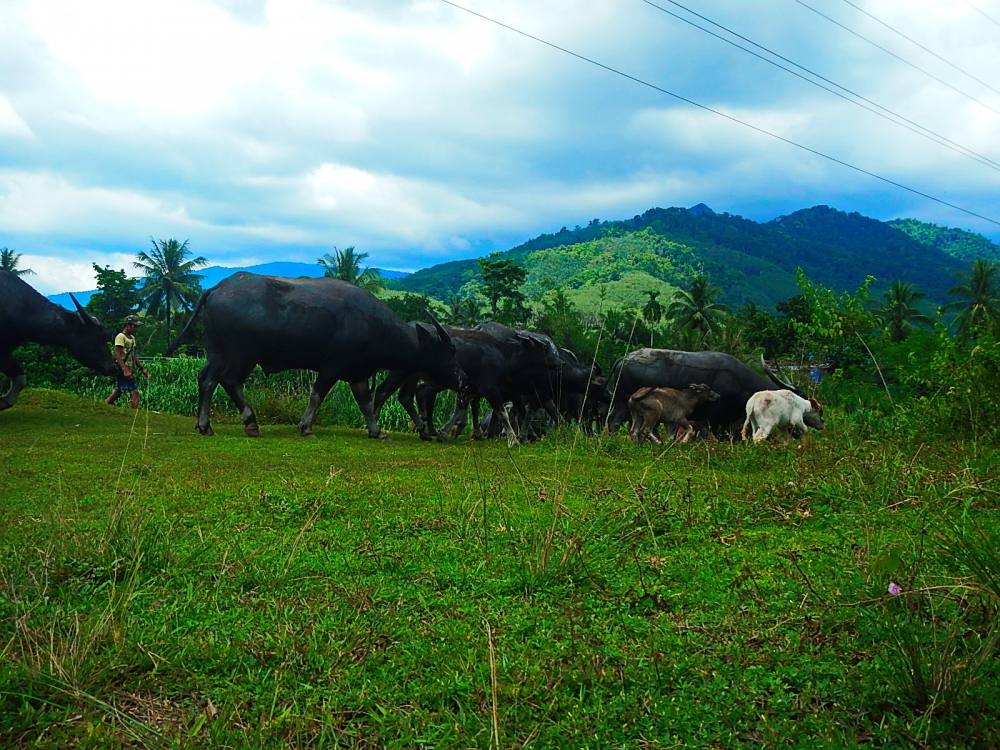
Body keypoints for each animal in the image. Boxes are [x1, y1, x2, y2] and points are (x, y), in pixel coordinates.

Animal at [168, 272, 464, 438]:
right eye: (449, 350)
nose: (461, 376)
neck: (372, 324)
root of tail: (216, 289)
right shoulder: (331, 367)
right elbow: (317, 395)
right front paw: (306, 427)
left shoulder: (357, 374)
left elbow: (365, 403)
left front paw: (376, 431)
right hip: (240, 355)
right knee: (224, 381)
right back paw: (240, 425)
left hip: (218, 353)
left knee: (209, 379)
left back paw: (215, 425)